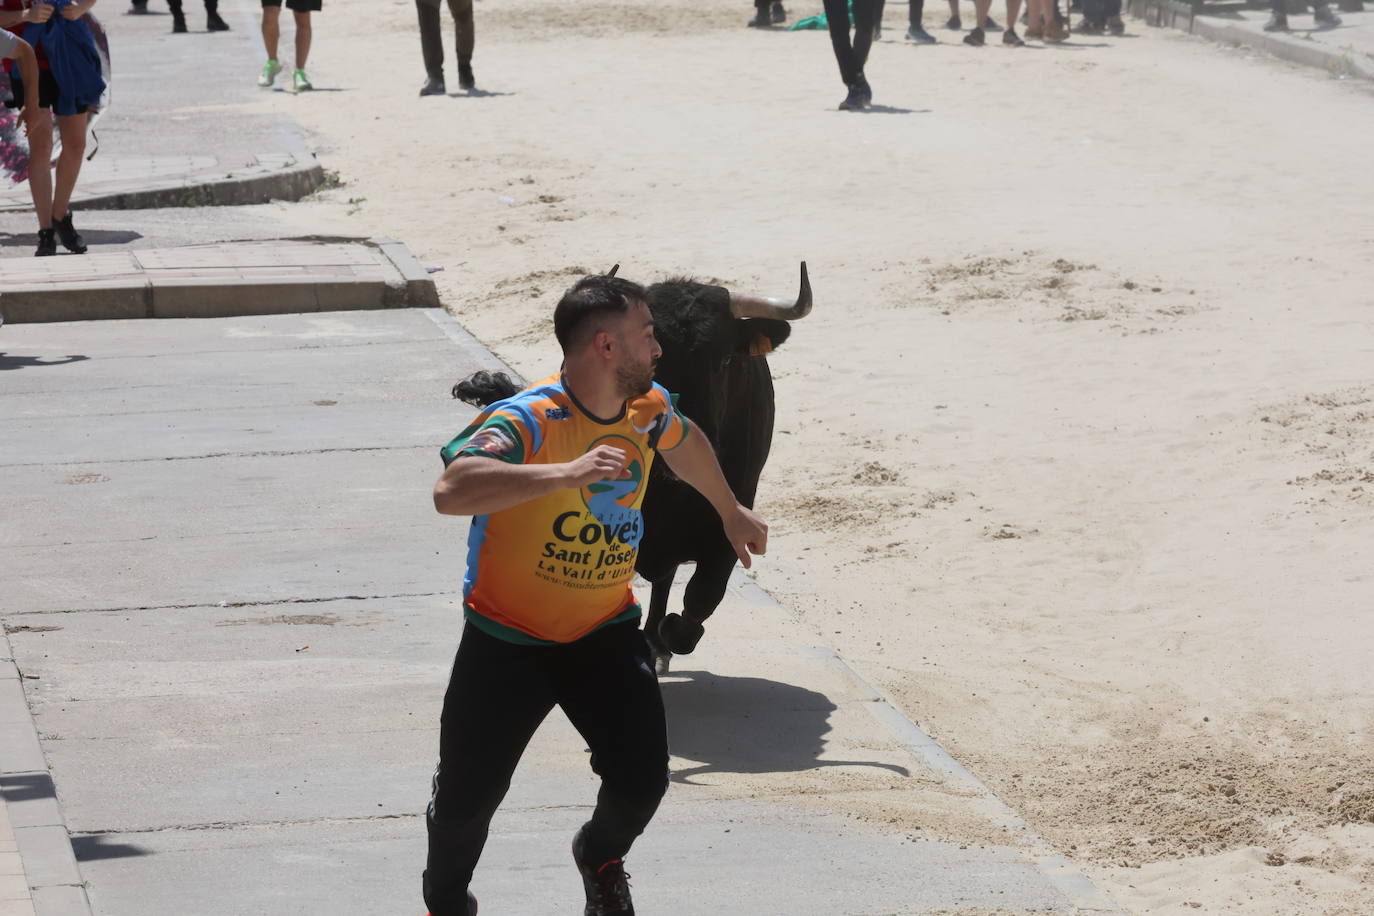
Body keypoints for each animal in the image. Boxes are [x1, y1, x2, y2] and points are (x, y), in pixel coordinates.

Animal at [456, 263, 807, 672]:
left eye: (724, 361)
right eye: (657, 360)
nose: (684, 428)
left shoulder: (730, 520)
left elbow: (701, 597)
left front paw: (665, 635)